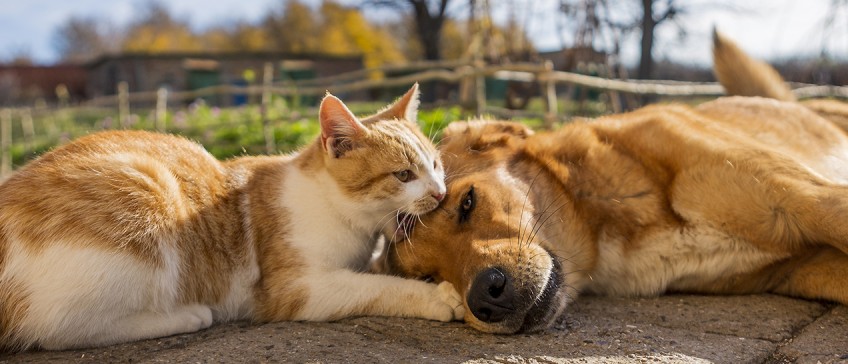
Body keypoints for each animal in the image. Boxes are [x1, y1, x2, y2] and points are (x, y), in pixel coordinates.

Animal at [0, 84, 464, 352]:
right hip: (148, 192)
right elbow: (372, 287)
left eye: (436, 165)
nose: (440, 193)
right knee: (58, 330)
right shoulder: (295, 289)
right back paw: (186, 316)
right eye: (403, 175)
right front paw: (436, 296)